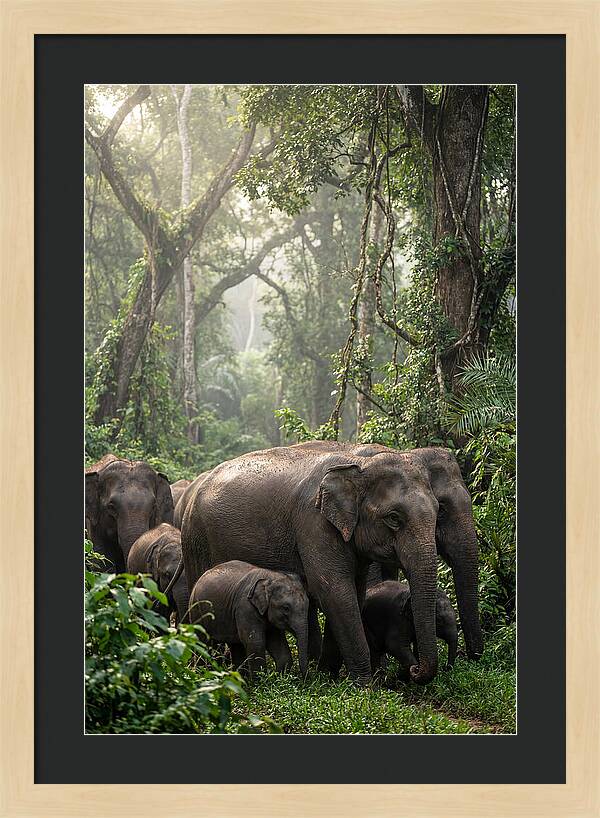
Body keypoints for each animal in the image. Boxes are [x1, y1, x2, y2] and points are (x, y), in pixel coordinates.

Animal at [181, 442, 441, 685]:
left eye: (439, 511)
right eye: (394, 518)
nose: (414, 670)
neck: (359, 465)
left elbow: (353, 592)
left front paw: (328, 676)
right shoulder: (314, 524)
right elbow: (334, 590)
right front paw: (364, 686)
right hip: (195, 540)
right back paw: (207, 668)